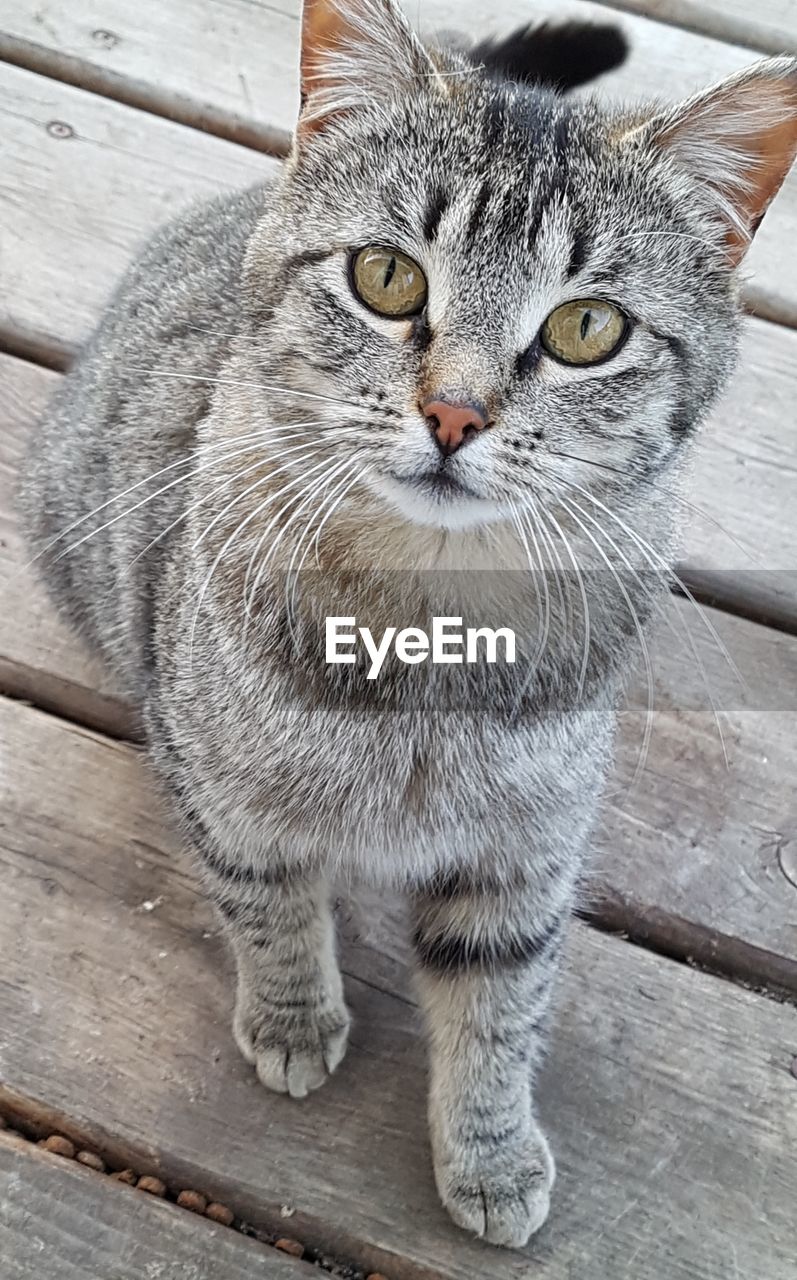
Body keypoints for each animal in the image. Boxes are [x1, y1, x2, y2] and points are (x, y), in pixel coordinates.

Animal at [18, 0, 797, 1249]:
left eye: (586, 328)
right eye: (385, 276)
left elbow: (500, 1003)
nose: (454, 412)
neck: (426, 622)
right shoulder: (229, 799)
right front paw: (293, 1015)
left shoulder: (523, 853)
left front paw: (488, 1150)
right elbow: (269, 907)